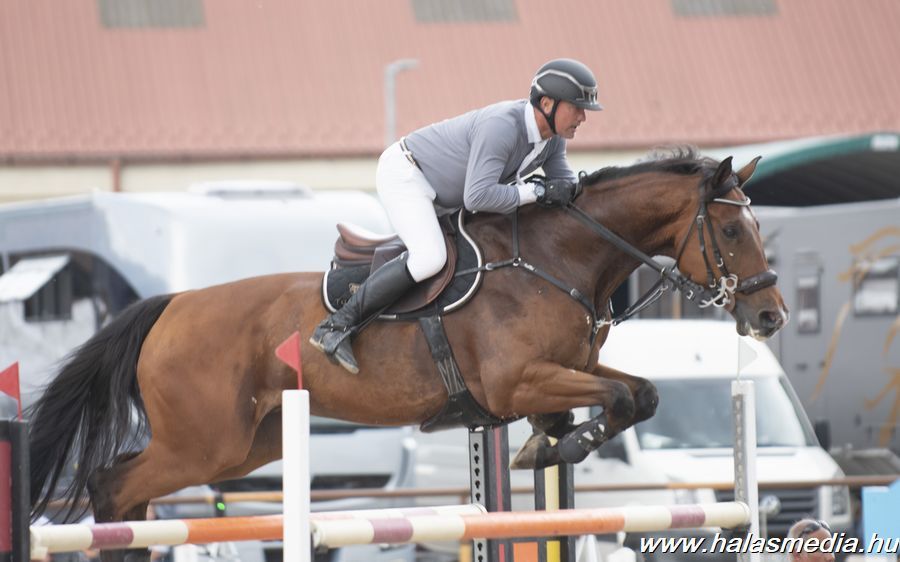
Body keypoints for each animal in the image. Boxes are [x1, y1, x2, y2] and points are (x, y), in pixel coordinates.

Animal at [28, 147, 788, 556]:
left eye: (758, 227)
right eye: (730, 229)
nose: (770, 315)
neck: (554, 259)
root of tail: (171, 307)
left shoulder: (565, 369)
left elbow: (641, 392)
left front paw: (545, 444)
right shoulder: (518, 383)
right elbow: (624, 397)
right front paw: (556, 446)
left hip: (247, 444)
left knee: (125, 489)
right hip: (205, 443)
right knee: (112, 485)